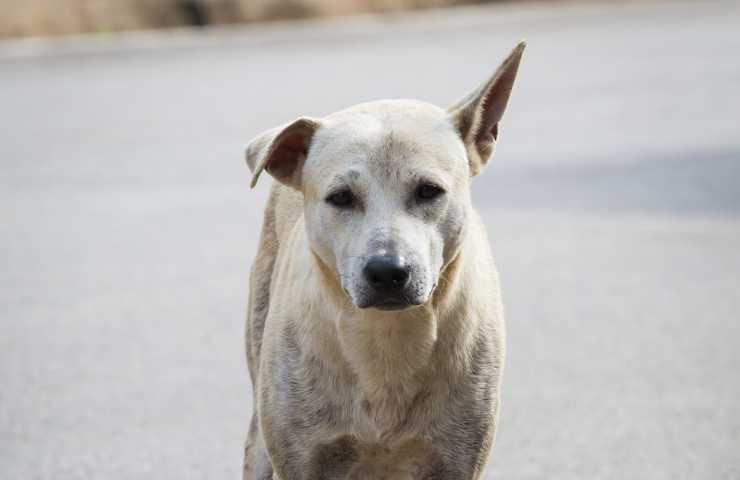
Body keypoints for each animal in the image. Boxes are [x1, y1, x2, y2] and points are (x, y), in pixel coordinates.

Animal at [243, 42, 528, 480]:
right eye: (341, 197)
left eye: (429, 190)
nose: (387, 272)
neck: (384, 337)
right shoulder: (302, 456)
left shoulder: (458, 457)